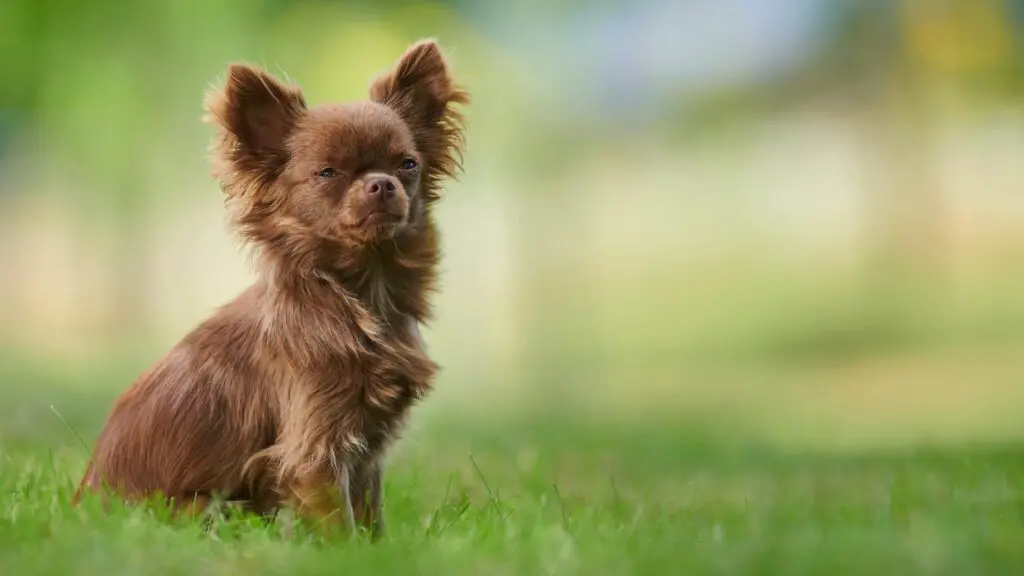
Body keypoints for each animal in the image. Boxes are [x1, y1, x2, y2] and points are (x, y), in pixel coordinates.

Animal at [72, 38, 468, 537]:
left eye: (408, 165)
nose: (382, 184)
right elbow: (340, 523)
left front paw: (382, 548)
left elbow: (370, 515)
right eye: (327, 173)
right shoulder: (314, 450)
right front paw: (346, 550)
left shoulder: (365, 453)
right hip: (207, 508)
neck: (359, 295)